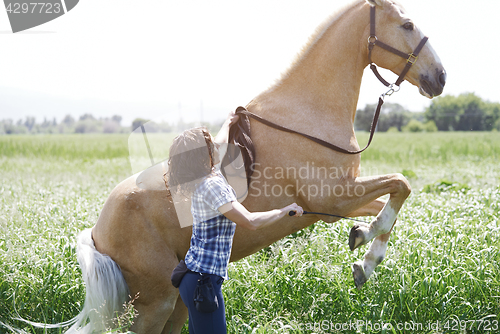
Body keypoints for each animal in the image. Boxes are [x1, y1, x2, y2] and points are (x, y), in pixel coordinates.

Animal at [47, 0, 448, 332]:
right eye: (408, 24)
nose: (440, 77)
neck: (308, 114)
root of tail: (97, 231)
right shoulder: (334, 197)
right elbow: (401, 184)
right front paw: (366, 247)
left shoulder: (336, 204)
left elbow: (391, 206)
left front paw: (364, 253)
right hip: (152, 305)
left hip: (175, 305)